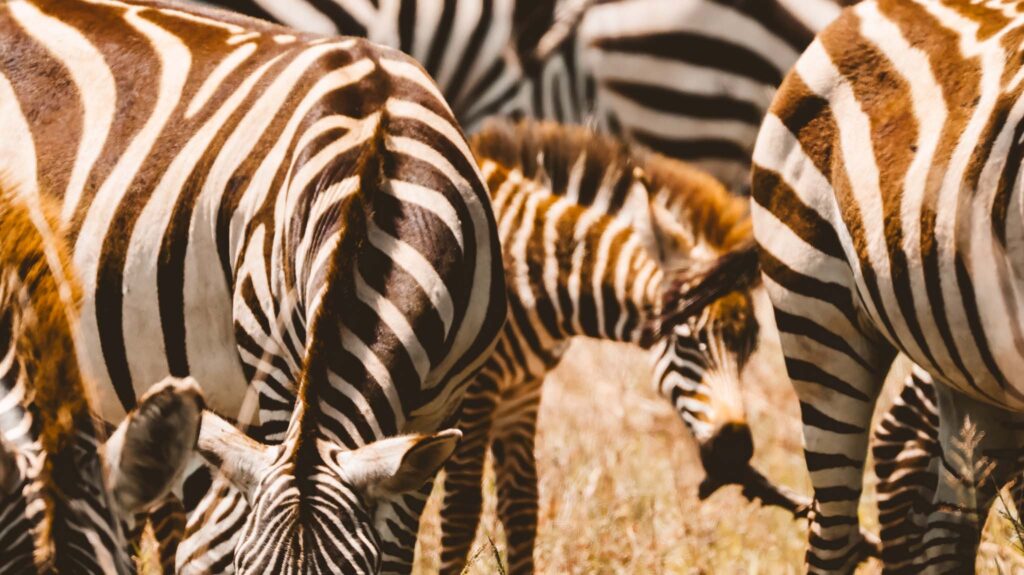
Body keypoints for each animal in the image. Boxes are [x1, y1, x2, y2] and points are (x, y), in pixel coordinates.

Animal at [437, 119, 760, 574]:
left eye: (750, 347)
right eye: (686, 340)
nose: (735, 450)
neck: (531, 275)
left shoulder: (522, 389)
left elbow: (523, 507)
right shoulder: (475, 392)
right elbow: (461, 510)